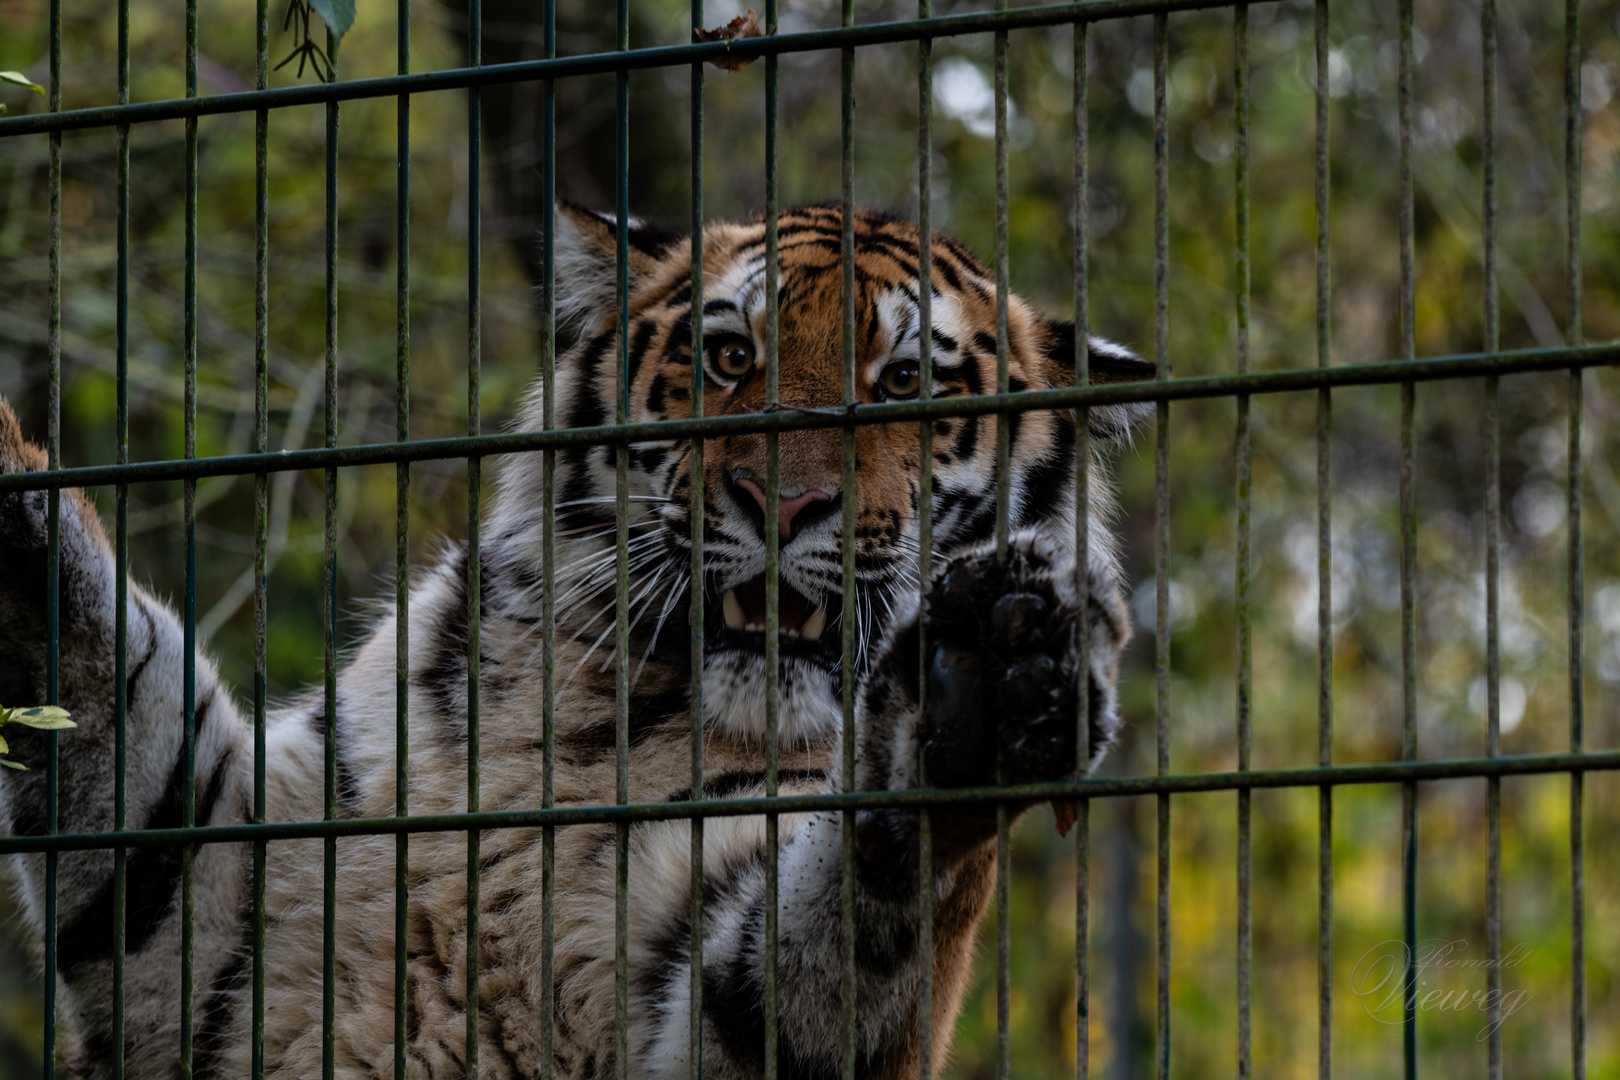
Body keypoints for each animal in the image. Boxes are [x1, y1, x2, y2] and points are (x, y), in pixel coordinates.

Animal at [6, 204, 1159, 1080]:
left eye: (907, 384)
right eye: (729, 356)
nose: (781, 502)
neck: (593, 723)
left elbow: (840, 930)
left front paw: (976, 697)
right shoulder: (218, 897)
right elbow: (103, 675)